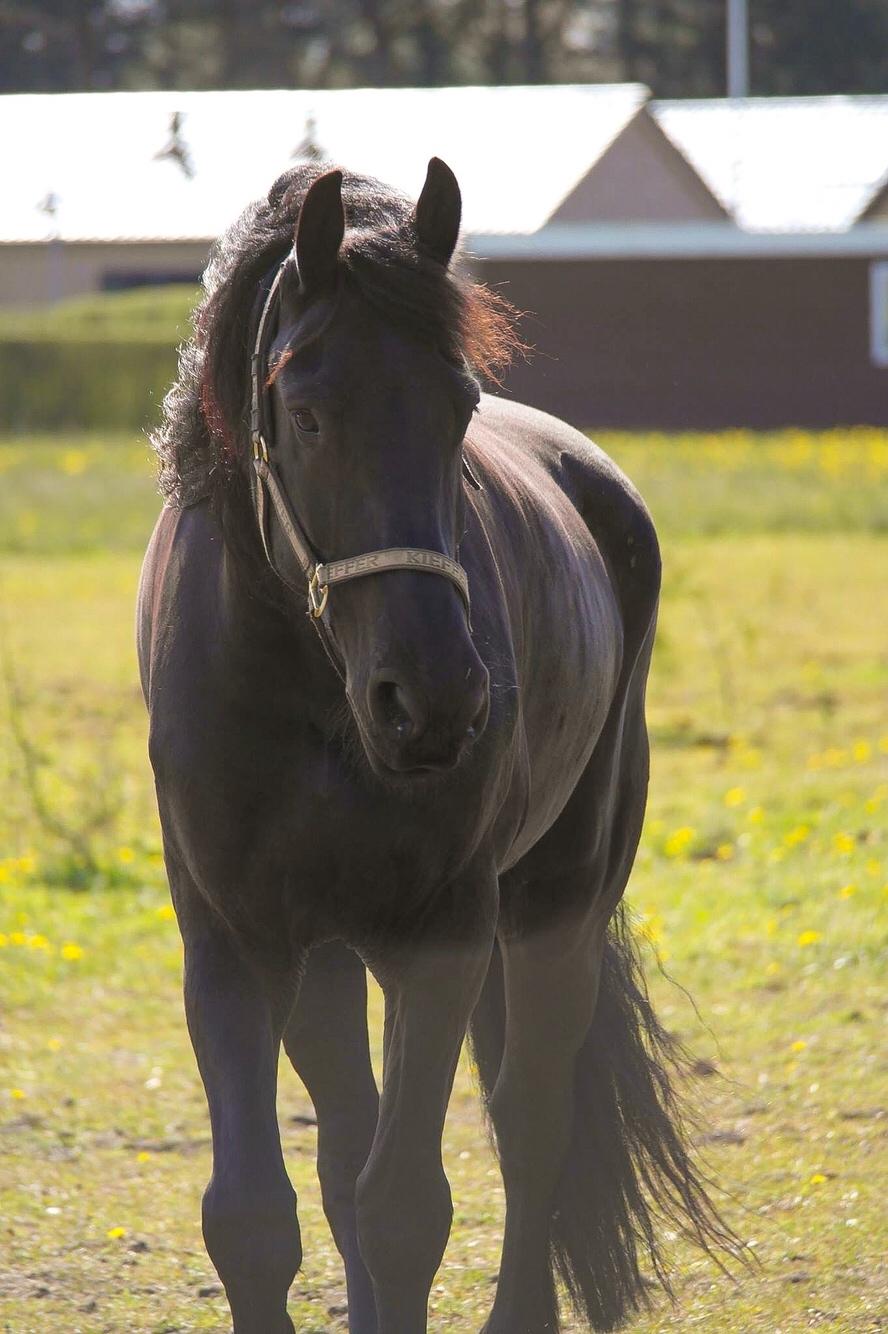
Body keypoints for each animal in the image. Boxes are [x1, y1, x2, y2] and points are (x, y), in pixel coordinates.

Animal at [136, 158, 730, 1334]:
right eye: (308, 415)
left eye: (458, 408)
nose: (438, 701)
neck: (307, 688)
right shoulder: (232, 940)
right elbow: (255, 1213)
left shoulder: (441, 934)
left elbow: (408, 1204)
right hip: (325, 952)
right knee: (348, 1145)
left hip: (557, 901)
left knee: (533, 1120)